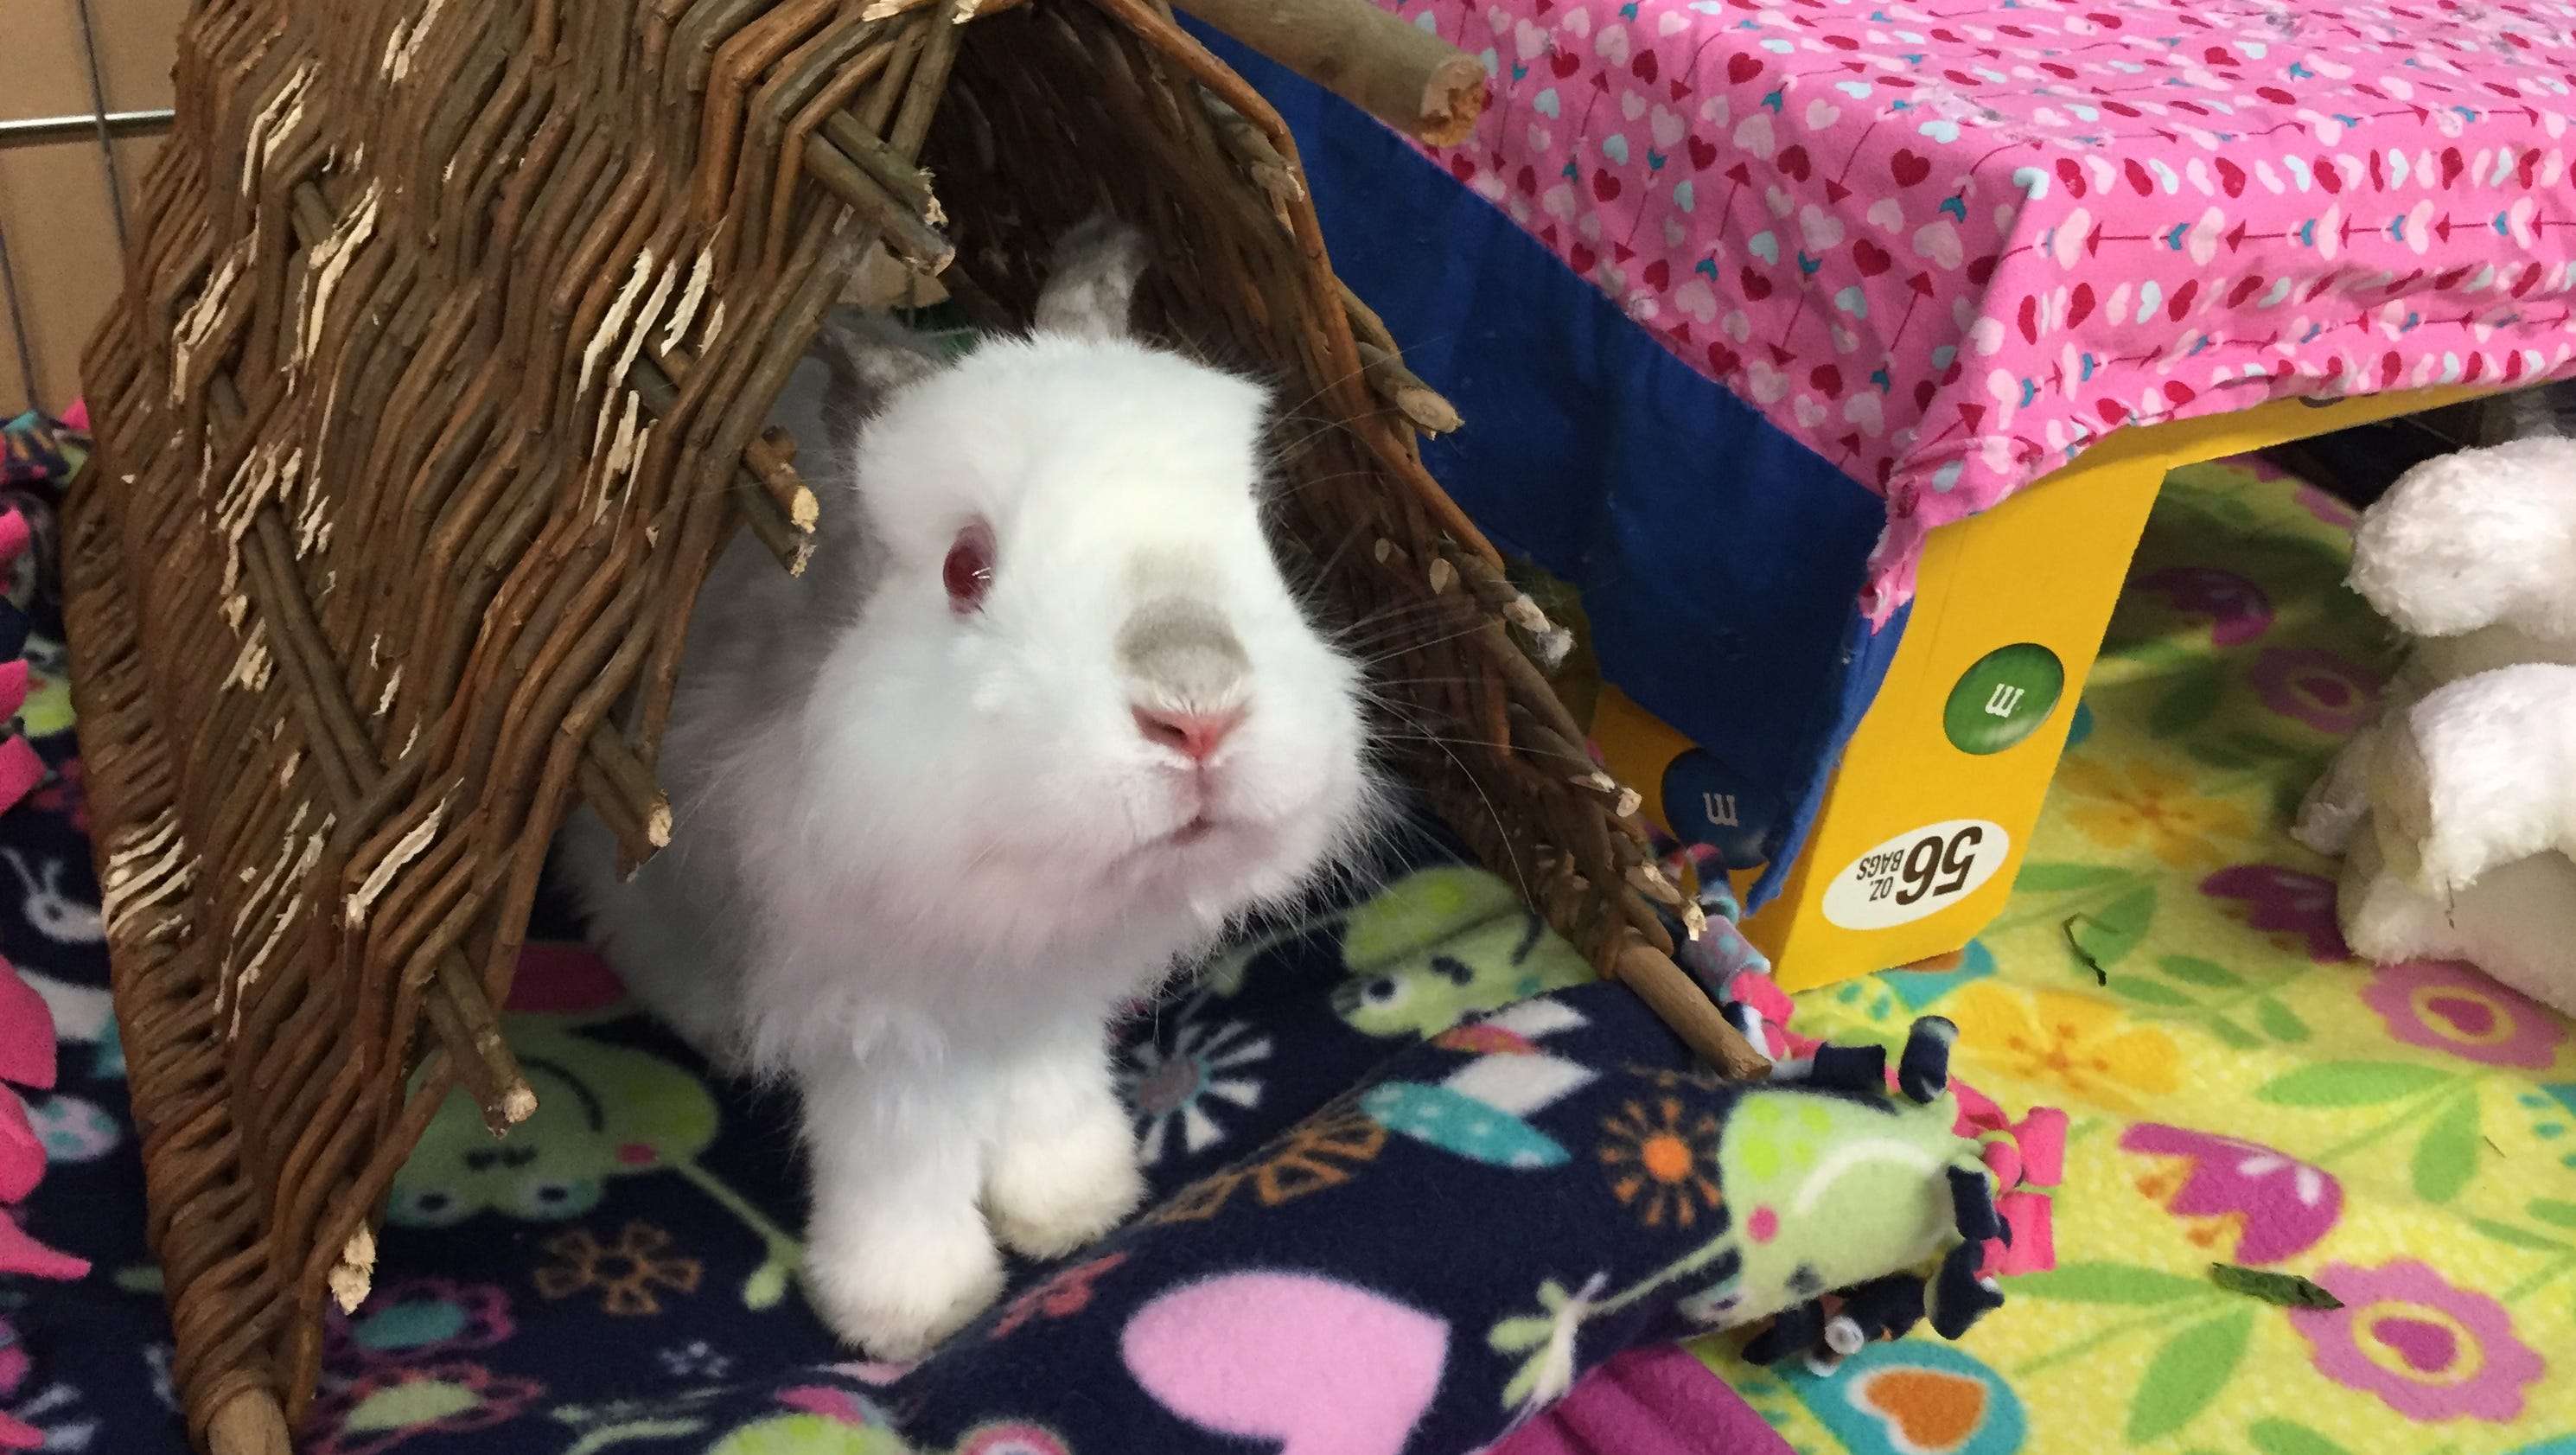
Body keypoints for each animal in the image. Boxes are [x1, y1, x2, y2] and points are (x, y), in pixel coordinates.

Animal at [557, 218, 1386, 1360]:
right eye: (965, 569)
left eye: (1258, 525)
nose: (1197, 708)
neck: (1014, 901)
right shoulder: (872, 1020)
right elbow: (901, 1156)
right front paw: (906, 1309)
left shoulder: (1055, 1001)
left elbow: (1046, 1092)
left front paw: (1075, 1205)